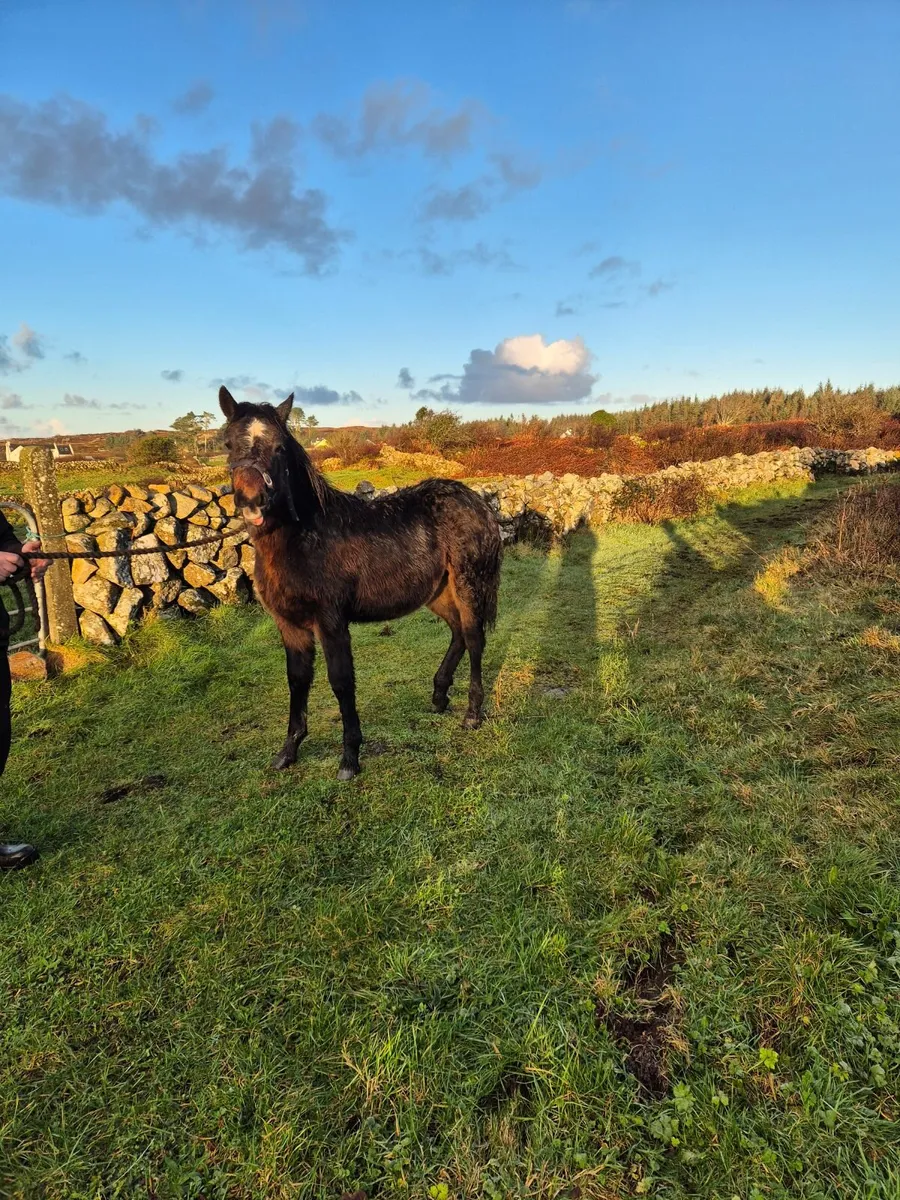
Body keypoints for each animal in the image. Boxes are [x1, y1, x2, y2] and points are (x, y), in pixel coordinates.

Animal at [218, 386, 502, 780]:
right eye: (228, 443)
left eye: (278, 447)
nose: (252, 499)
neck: (305, 537)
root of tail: (478, 502)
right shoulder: (289, 625)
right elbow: (297, 680)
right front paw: (288, 751)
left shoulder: (332, 621)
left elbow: (341, 681)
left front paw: (350, 757)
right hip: (437, 592)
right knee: (458, 634)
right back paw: (439, 696)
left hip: (468, 585)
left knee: (475, 639)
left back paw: (472, 714)